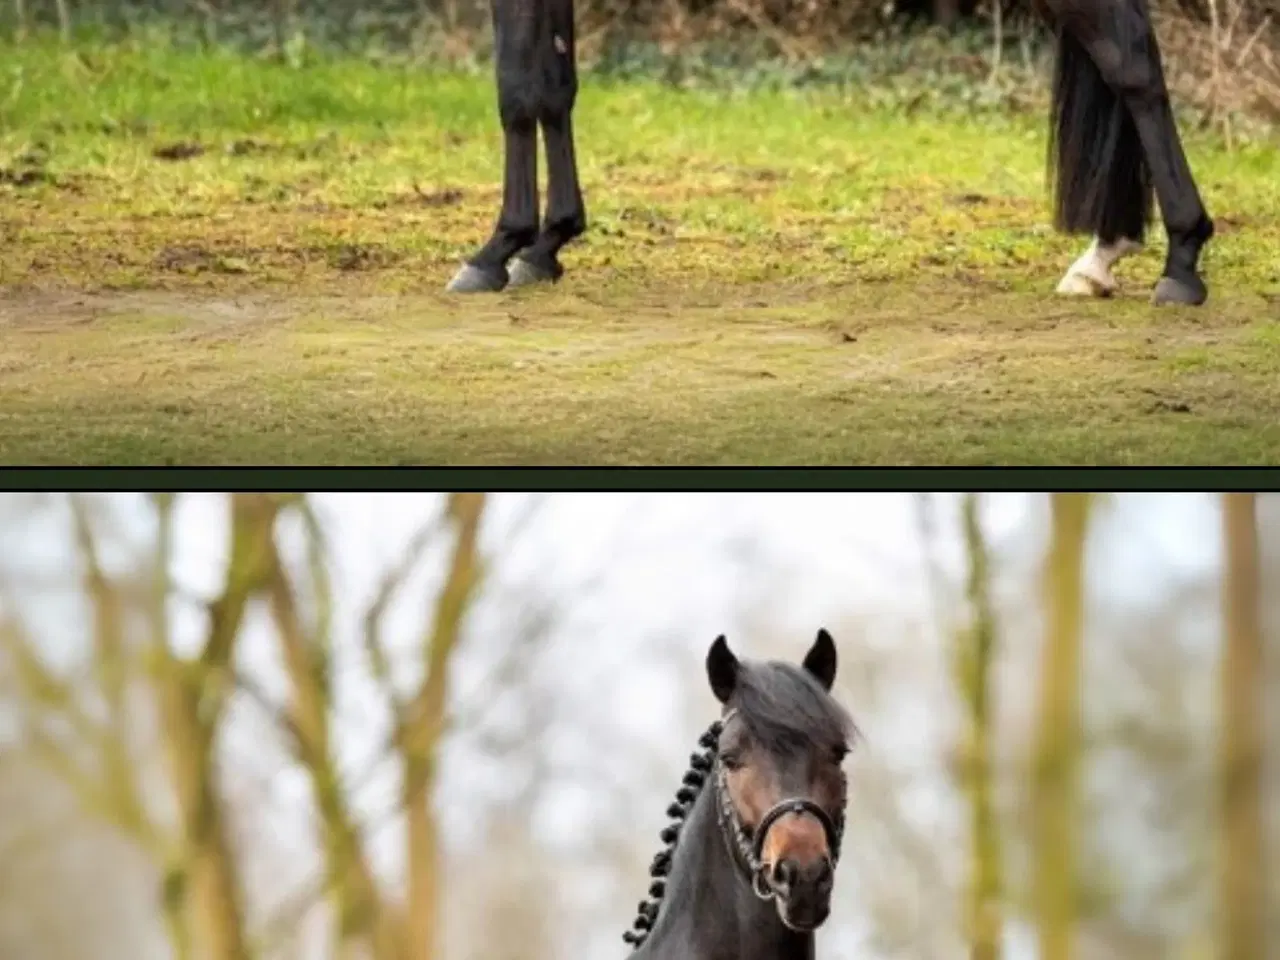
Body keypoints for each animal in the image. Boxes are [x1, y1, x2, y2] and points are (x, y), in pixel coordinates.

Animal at [446, 0, 1213, 306]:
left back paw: (1181, 262)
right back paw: (1105, 255)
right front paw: (548, 243)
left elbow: (517, 89)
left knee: (1132, 64)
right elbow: (553, 88)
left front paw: (497, 248)